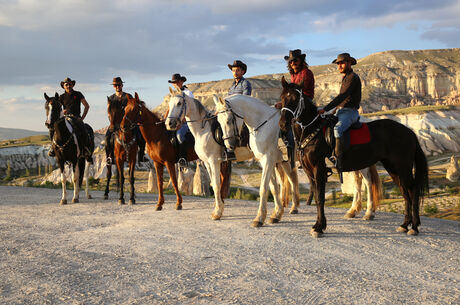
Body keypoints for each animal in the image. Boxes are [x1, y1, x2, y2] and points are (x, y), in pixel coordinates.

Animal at [164, 87, 232, 218]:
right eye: (168, 104)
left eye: (179, 103)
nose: (169, 124)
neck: (203, 131)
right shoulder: (207, 162)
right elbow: (214, 184)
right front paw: (218, 208)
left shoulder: (214, 161)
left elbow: (216, 184)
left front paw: (218, 212)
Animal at [216, 94, 302, 226]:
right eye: (219, 122)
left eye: (229, 120)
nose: (229, 145)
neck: (262, 124)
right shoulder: (266, 161)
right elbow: (273, 188)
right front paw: (277, 214)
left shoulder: (268, 160)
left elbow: (263, 188)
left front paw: (259, 218)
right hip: (285, 161)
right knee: (293, 179)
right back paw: (294, 207)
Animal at [278, 77, 430, 236]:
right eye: (282, 98)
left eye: (295, 98)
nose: (283, 123)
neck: (312, 131)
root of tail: (409, 132)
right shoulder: (309, 172)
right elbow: (317, 198)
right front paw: (318, 225)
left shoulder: (318, 169)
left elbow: (320, 198)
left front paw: (319, 227)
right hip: (393, 168)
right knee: (405, 192)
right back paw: (405, 224)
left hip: (403, 168)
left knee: (413, 191)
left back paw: (414, 227)